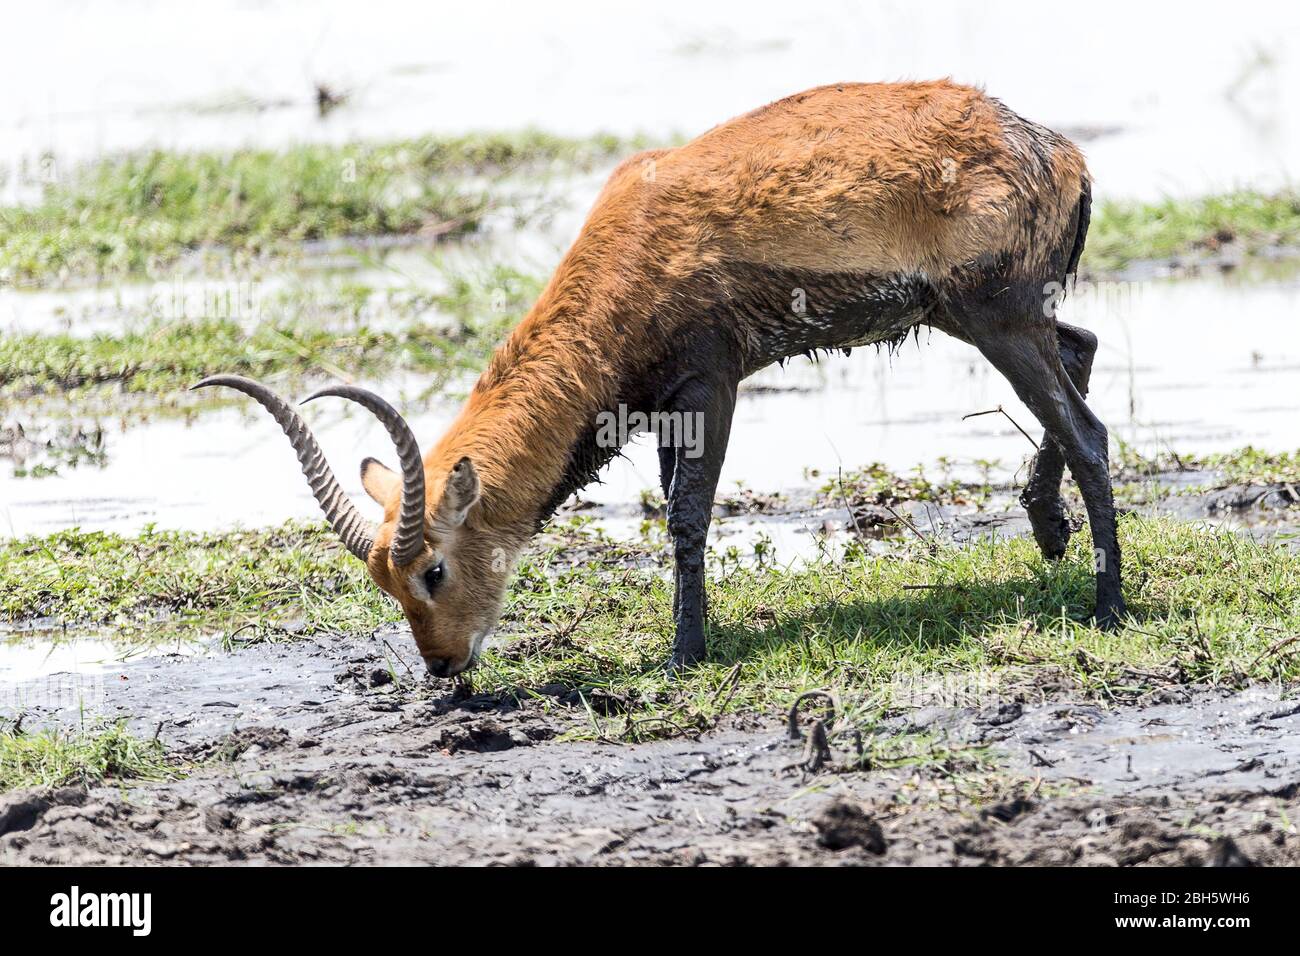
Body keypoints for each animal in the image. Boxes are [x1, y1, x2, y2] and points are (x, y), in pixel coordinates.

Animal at [197, 82, 1123, 681]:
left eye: (432, 571)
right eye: (383, 582)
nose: (443, 667)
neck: (634, 241)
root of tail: (1058, 151)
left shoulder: (710, 387)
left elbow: (686, 517)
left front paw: (683, 657)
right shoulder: (663, 411)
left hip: (994, 319)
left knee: (1088, 429)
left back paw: (1107, 608)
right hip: (996, 319)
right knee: (1080, 348)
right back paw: (1049, 533)